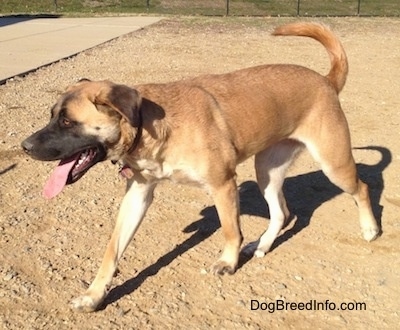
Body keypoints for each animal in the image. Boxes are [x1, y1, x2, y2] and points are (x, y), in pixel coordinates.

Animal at [21, 21, 378, 310]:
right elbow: (112, 250)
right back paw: (262, 246)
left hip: (333, 163)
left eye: (67, 121)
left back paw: (370, 228)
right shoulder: (138, 194)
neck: (149, 125)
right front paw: (94, 295)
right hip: (267, 169)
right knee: (282, 213)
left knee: (361, 187)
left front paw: (228, 262)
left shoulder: (223, 184)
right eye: (52, 116)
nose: (24, 146)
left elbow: (231, 230)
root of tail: (326, 80)